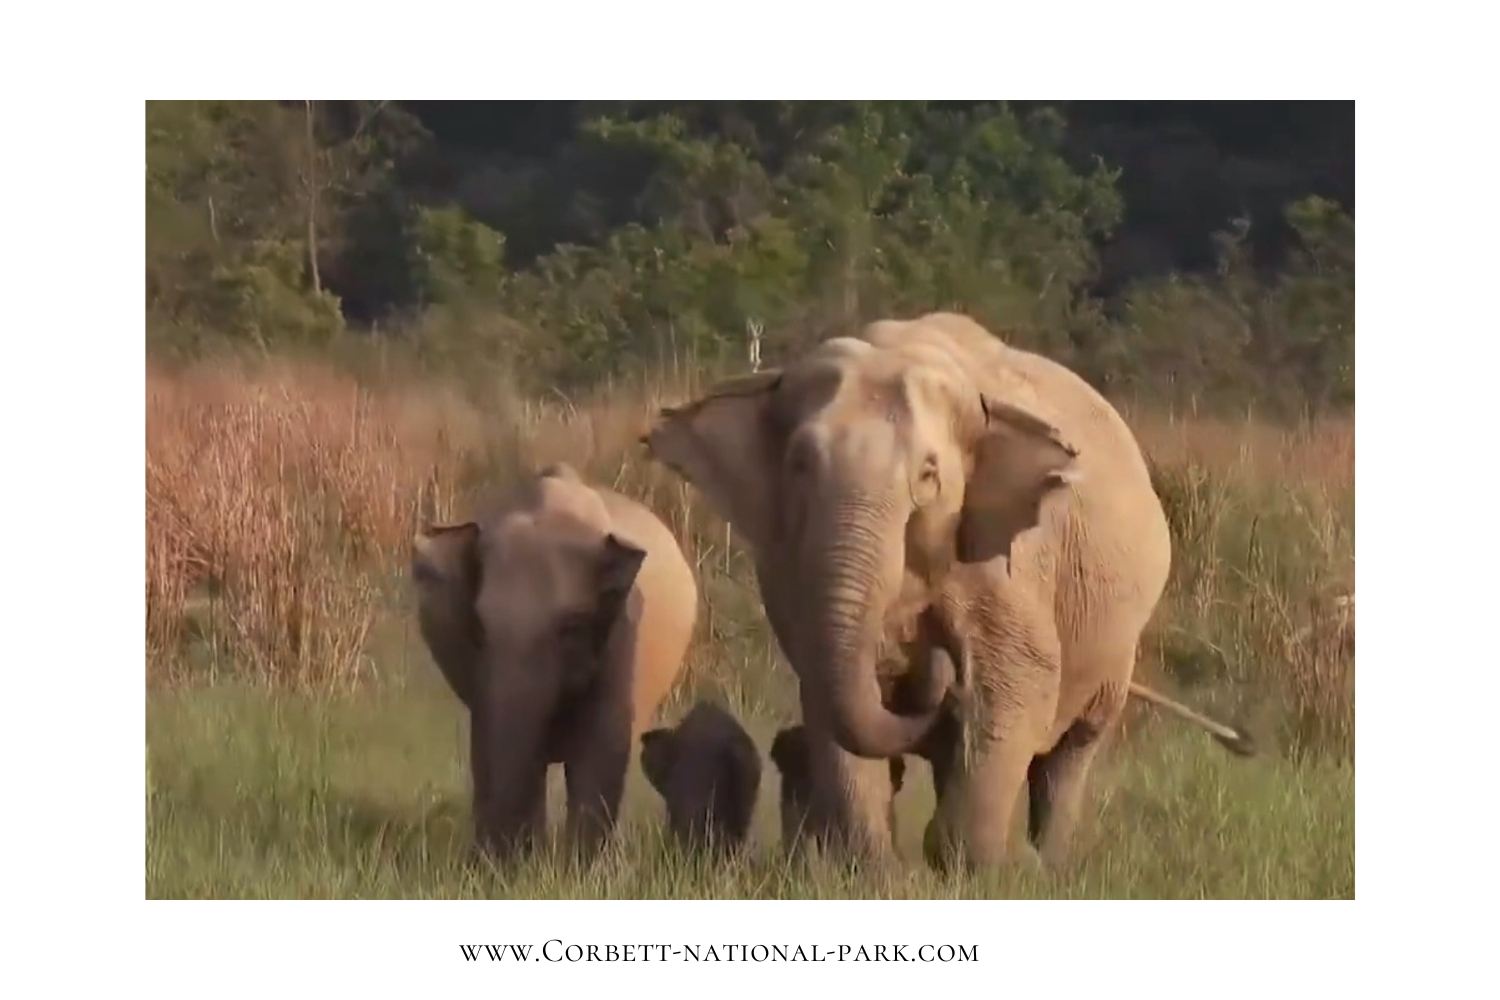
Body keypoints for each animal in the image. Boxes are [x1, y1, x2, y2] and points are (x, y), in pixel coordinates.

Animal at [410, 462, 698, 862]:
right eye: (479, 624)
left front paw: (580, 869)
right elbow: (489, 736)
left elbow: (603, 745)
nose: (489, 857)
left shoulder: (623, 632)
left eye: (571, 626)